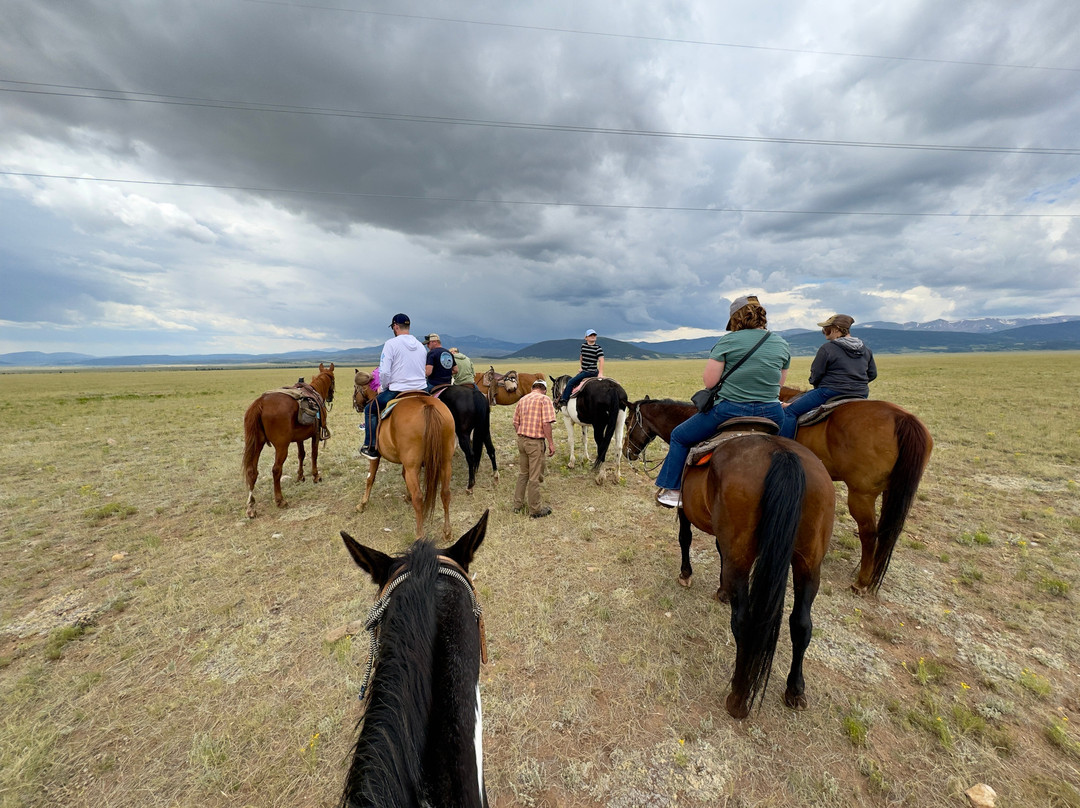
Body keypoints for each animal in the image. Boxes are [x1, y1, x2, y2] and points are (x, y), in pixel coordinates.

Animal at [240, 360, 332, 518]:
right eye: (333, 380)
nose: (331, 397)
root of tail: (260, 402)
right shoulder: (315, 435)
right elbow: (314, 455)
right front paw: (315, 476)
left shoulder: (300, 438)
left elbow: (301, 455)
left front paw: (300, 477)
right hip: (282, 446)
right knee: (276, 469)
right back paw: (280, 500)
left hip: (257, 444)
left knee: (252, 471)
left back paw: (251, 506)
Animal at [354, 391, 455, 542]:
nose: (356, 405)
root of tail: (427, 405)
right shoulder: (407, 464)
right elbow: (403, 475)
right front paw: (407, 496)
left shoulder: (377, 455)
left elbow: (370, 478)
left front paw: (362, 504)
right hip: (445, 463)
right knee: (445, 493)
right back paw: (447, 532)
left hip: (413, 467)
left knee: (418, 497)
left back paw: (419, 535)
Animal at [630, 397, 933, 591]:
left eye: (631, 423)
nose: (626, 451)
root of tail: (904, 418)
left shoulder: (687, 509)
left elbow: (686, 538)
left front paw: (686, 575)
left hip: (861, 493)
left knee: (870, 533)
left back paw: (861, 582)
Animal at [678, 425, 838, 717]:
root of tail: (783, 455)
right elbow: (719, 550)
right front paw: (722, 590)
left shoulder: (686, 511)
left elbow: (685, 538)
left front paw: (686, 574)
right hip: (809, 564)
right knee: (801, 624)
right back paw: (795, 690)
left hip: (744, 556)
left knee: (744, 621)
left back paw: (738, 696)